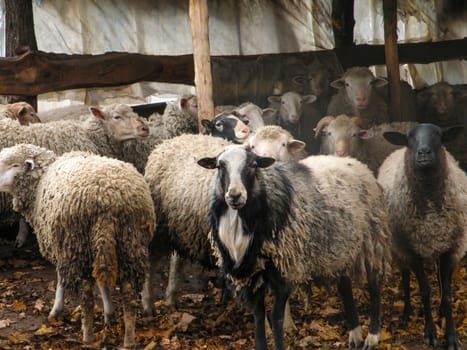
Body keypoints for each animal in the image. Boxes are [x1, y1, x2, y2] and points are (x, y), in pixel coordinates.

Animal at [0, 144, 155, 348]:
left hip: (79, 243)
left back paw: (87, 337)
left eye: (14, 165)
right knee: (128, 295)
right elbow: (102, 282)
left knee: (87, 298)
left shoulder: (61, 243)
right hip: (129, 242)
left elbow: (60, 279)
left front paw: (55, 310)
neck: (40, 182)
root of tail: (109, 198)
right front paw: (109, 313)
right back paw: (129, 339)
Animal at [376, 124, 467, 348]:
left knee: (440, 281)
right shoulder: (411, 250)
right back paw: (407, 311)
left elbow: (447, 294)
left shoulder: (451, 248)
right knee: (405, 276)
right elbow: (425, 290)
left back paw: (440, 311)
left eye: (438, 135)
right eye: (410, 137)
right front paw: (430, 332)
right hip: (399, 247)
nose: (423, 152)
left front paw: (451, 335)